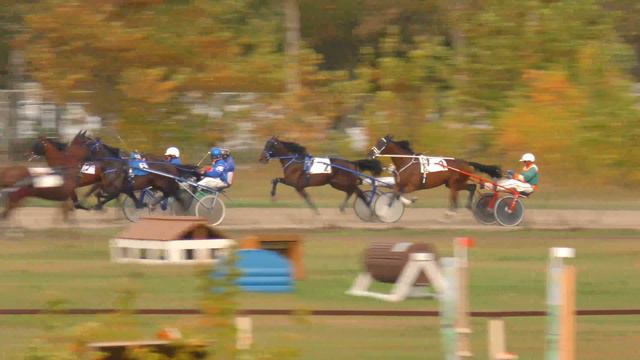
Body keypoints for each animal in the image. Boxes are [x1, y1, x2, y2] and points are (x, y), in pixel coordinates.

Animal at [368, 135, 502, 214]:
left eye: (380, 143)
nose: (370, 153)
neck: (407, 162)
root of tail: (466, 162)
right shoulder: (398, 184)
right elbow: (394, 194)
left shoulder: (412, 186)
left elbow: (398, 194)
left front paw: (409, 201)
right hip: (452, 184)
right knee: (470, 187)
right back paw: (463, 207)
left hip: (455, 182)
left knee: (459, 193)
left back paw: (453, 211)